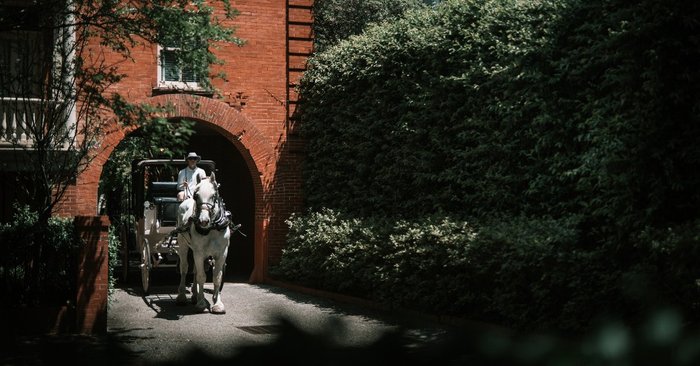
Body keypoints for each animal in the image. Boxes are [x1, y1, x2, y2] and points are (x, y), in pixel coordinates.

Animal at [175, 172, 230, 314]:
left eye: (214, 195)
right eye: (196, 195)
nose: (203, 221)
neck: (212, 228)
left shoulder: (222, 253)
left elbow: (217, 277)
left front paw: (217, 303)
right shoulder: (199, 253)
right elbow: (201, 276)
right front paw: (201, 303)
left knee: (194, 270)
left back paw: (195, 295)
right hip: (183, 245)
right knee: (184, 268)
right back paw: (182, 296)